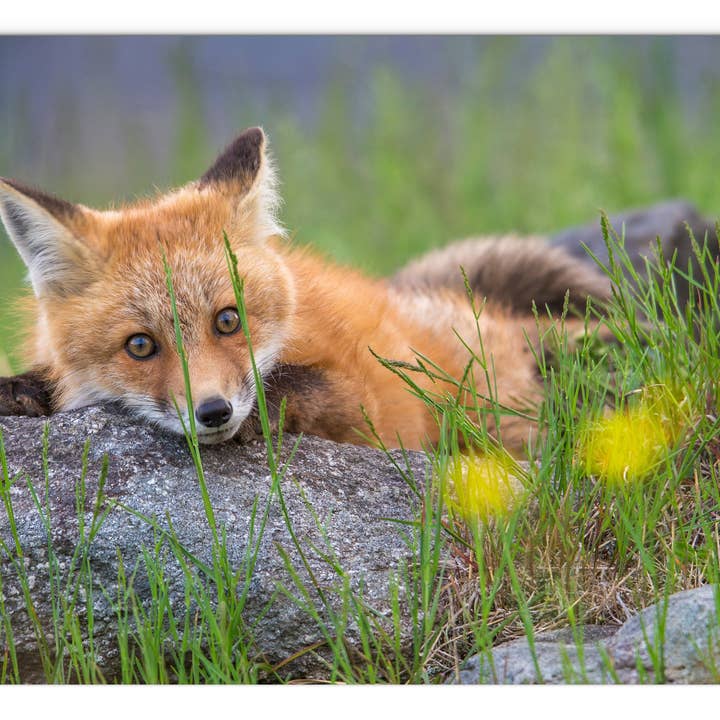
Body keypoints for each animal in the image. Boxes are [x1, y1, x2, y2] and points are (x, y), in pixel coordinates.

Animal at [0, 127, 610, 454]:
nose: (214, 412)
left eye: (228, 320)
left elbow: (298, 385)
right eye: (140, 346)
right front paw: (23, 390)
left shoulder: (369, 401)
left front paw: (262, 413)